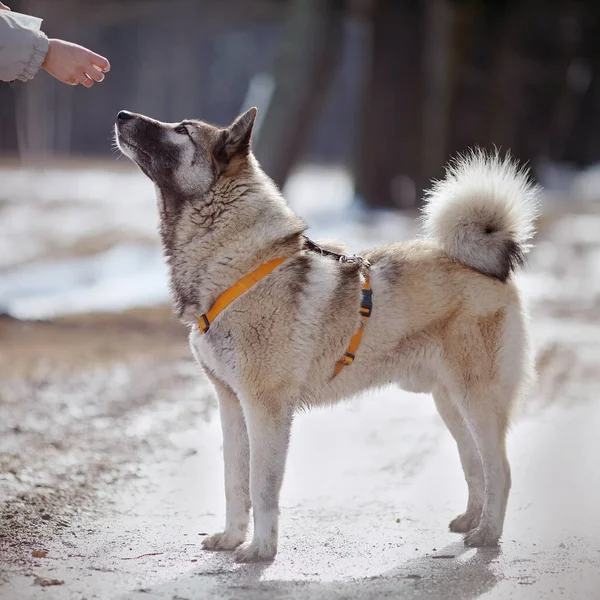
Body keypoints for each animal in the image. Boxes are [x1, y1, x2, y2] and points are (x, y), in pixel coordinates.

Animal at [116, 106, 540, 564]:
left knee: (500, 470)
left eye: (182, 131)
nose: (121, 115)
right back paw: (470, 521)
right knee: (475, 464)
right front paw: (232, 538)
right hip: (451, 403)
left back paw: (488, 534)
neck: (239, 262)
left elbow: (261, 486)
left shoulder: (265, 408)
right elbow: (234, 481)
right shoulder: (231, 405)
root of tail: (487, 268)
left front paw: (261, 548)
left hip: (476, 398)